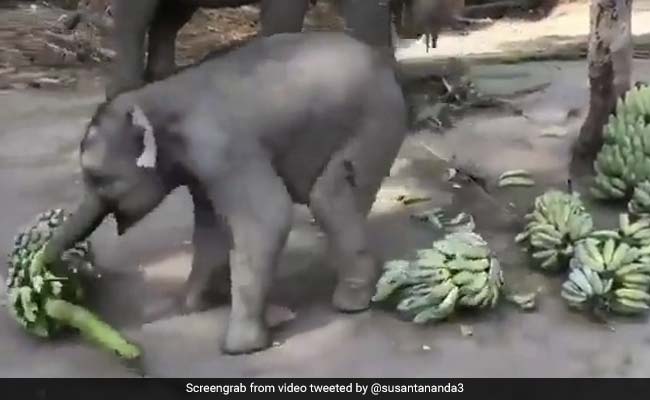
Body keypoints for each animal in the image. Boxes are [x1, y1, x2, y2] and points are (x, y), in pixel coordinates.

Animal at [42, 32, 408, 354]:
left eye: (98, 178)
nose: (43, 265)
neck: (155, 97)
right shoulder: (201, 168)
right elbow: (209, 226)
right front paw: (193, 304)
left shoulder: (223, 150)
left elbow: (267, 217)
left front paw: (239, 347)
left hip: (375, 121)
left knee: (329, 197)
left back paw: (351, 303)